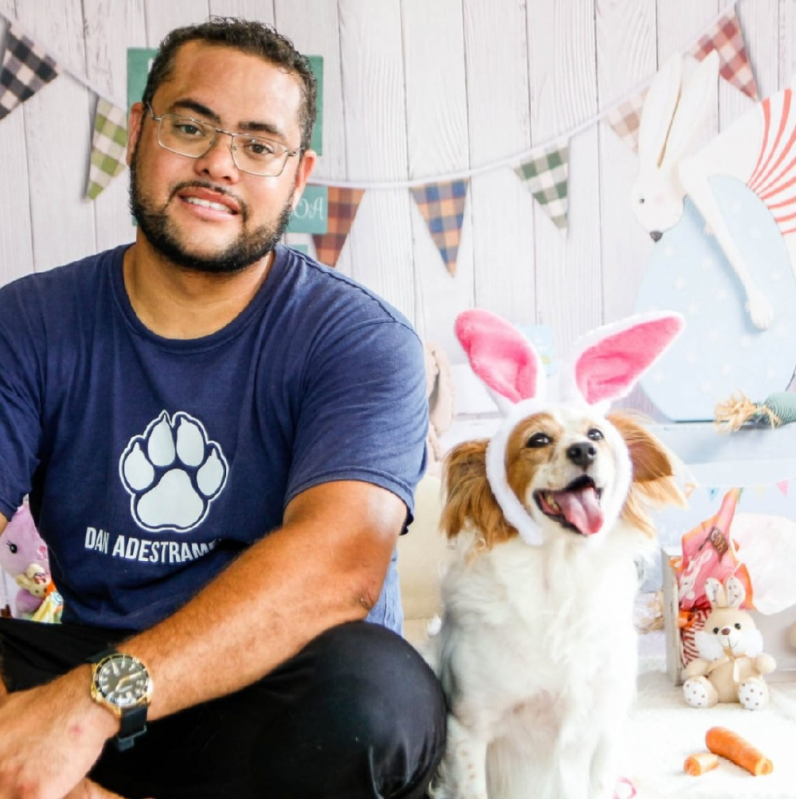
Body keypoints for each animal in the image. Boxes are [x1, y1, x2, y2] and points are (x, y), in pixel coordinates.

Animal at [430, 310, 684, 799]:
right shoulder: (469, 729)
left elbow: (599, 782)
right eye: (537, 440)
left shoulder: (602, 722)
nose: (583, 449)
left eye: (596, 433)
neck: (559, 575)